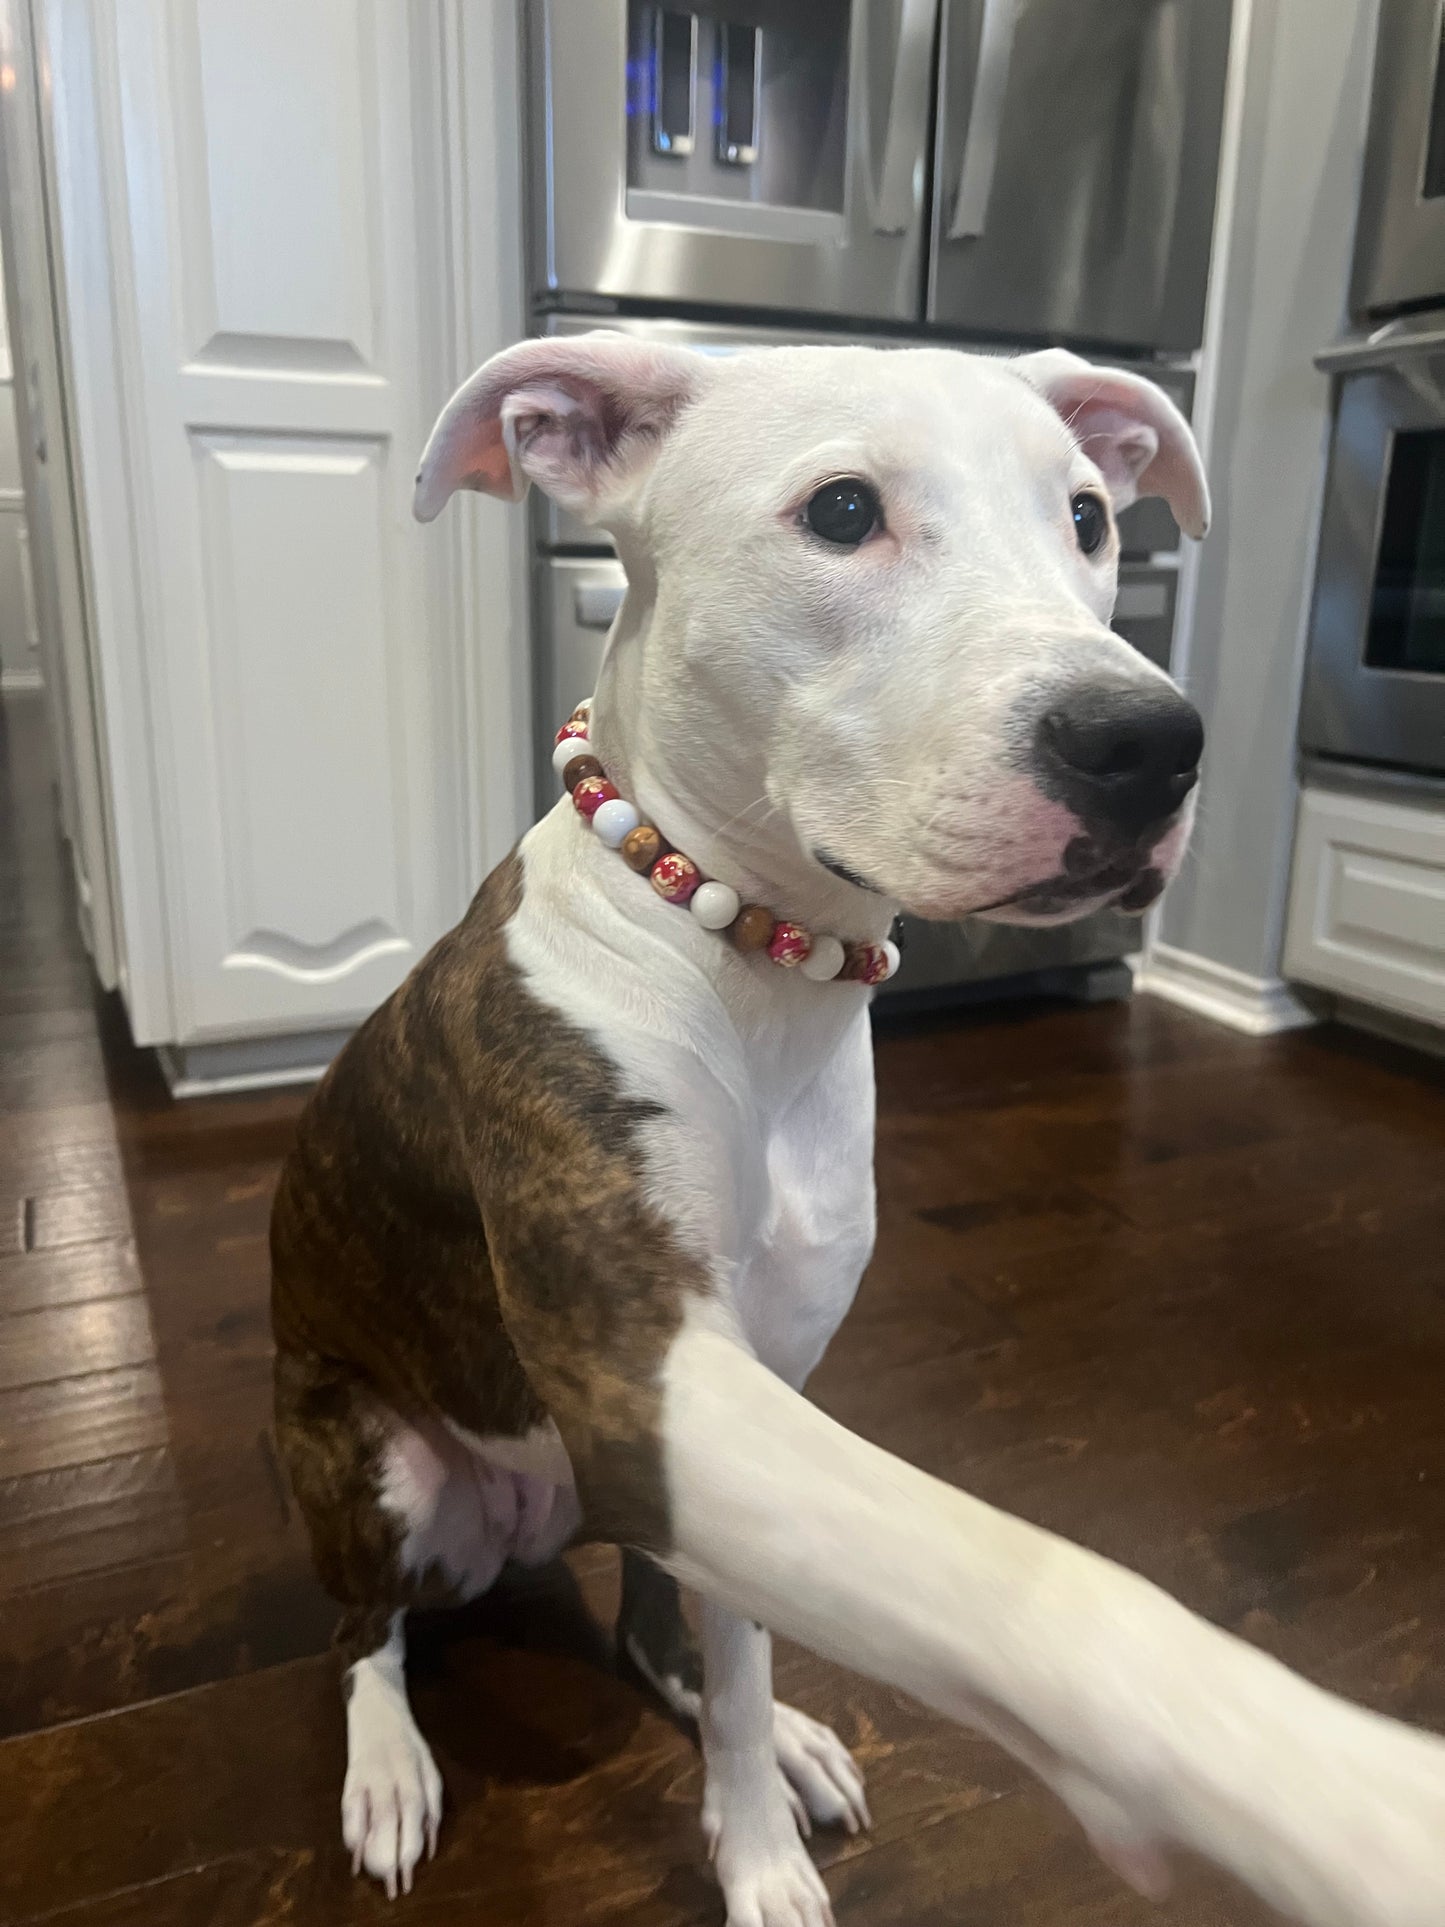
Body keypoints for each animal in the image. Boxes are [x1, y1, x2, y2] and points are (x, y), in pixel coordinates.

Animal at [273, 339, 1445, 1927]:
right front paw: (1306, 1780)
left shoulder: (755, 1383)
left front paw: (756, 1816)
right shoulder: (650, 1370)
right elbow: (1020, 1577)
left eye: (1088, 516)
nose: (1147, 743)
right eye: (840, 509)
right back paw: (389, 1763)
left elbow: (756, 1638)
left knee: (661, 1621)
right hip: (379, 1472)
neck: (755, 968)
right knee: (364, 1631)